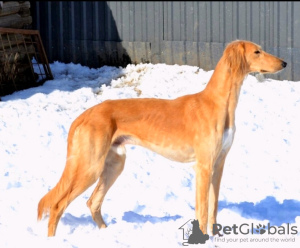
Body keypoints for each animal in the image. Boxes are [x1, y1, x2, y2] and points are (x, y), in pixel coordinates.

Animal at [37, 40, 286, 236]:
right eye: (257, 51)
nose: (284, 63)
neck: (219, 104)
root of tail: (83, 115)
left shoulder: (219, 165)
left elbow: (213, 208)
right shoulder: (204, 167)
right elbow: (203, 210)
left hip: (114, 164)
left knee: (92, 202)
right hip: (90, 166)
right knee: (58, 205)